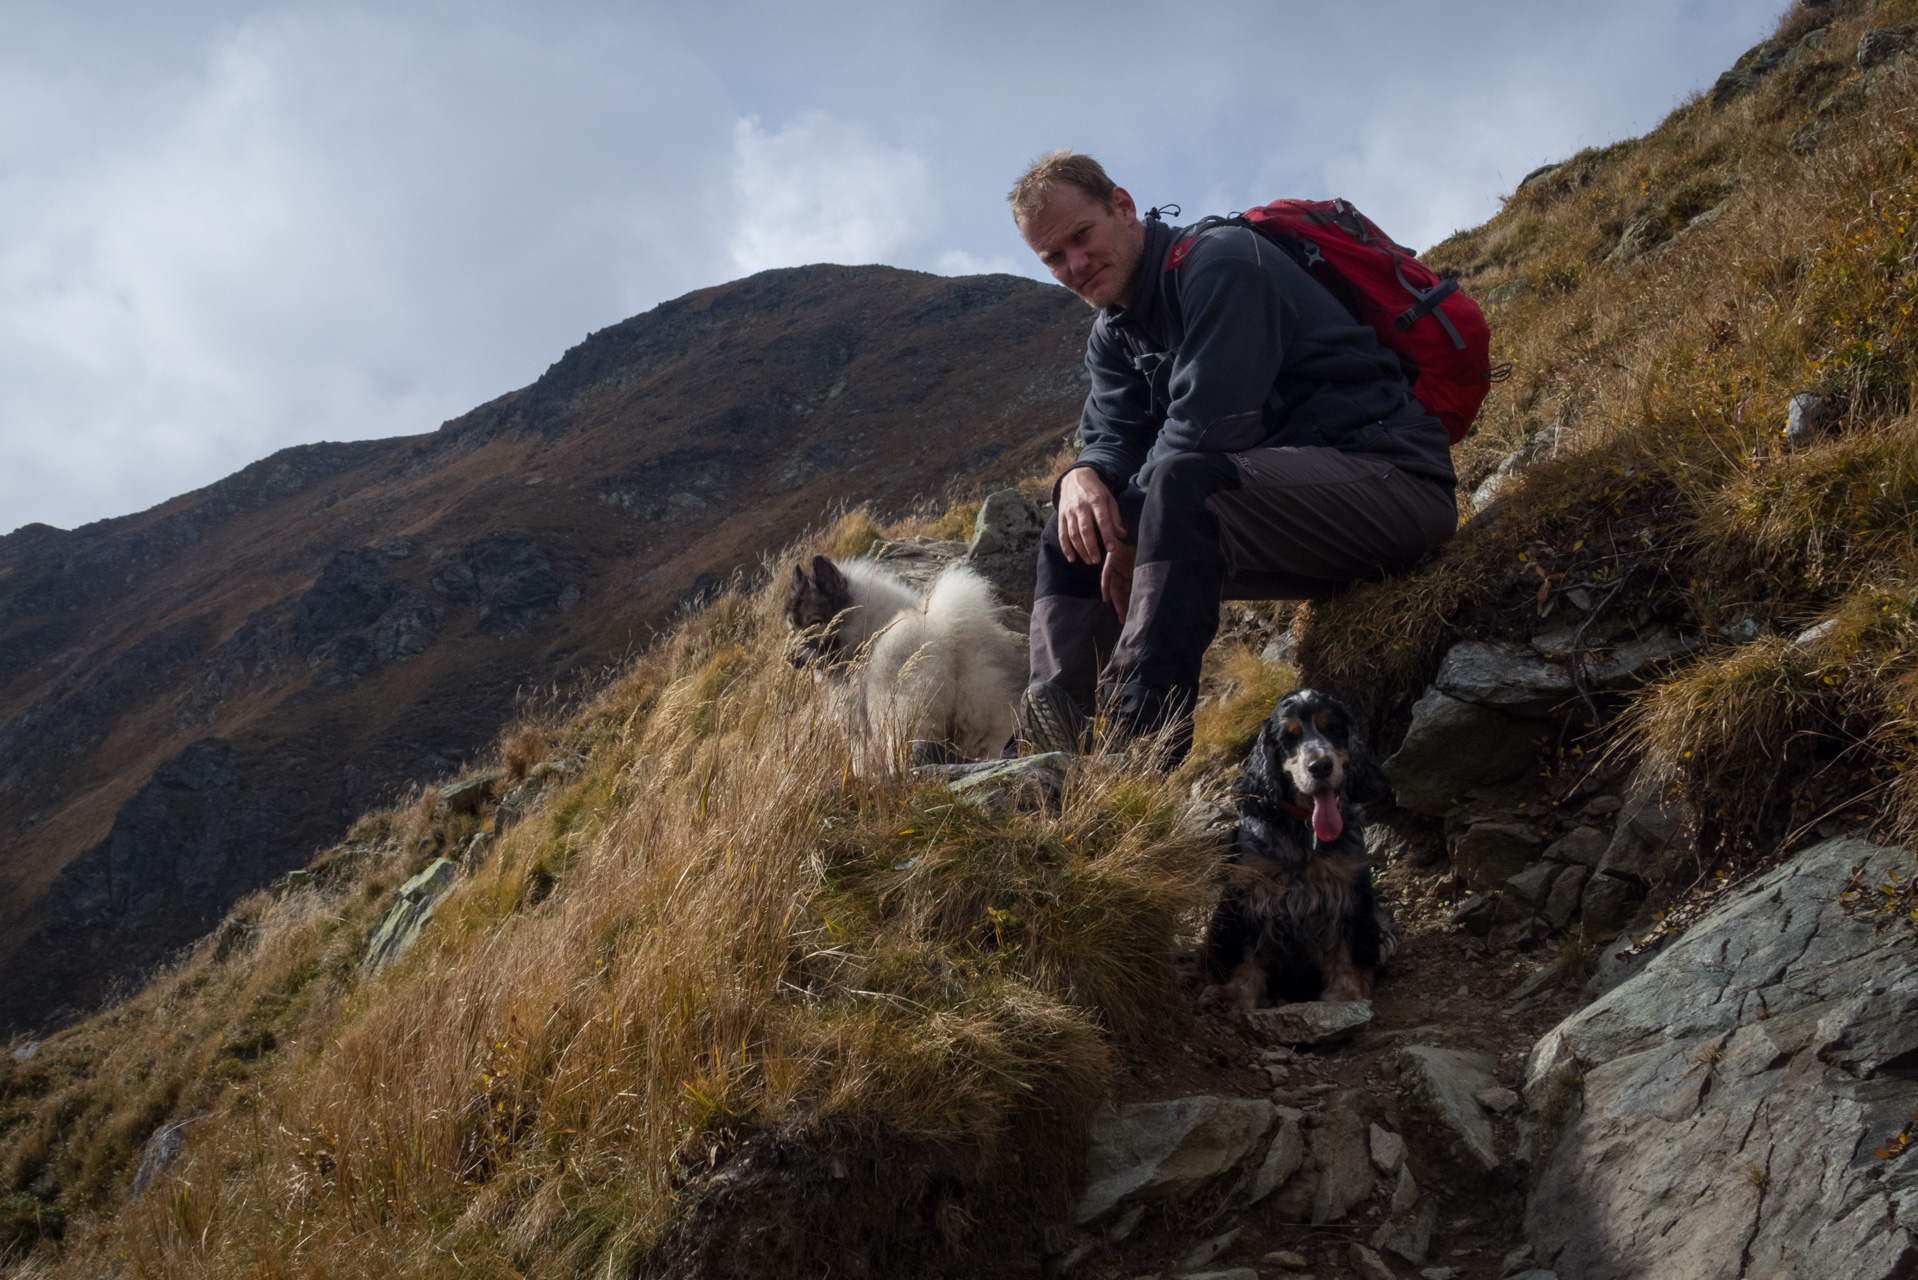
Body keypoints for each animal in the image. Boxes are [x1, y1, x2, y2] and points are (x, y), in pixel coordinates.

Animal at [778, 552, 1028, 759]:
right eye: (791, 626)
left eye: (815, 622)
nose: (789, 659)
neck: (864, 630)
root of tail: (950, 635)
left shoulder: (860, 729)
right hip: (984, 721)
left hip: (899, 715)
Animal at [1196, 690, 1396, 1013]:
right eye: (1289, 738)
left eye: (1332, 728)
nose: (1320, 766)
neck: (1304, 829)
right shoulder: (1248, 892)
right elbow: (1245, 950)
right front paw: (1234, 995)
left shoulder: (1348, 889)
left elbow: (1348, 948)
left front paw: (1347, 996)